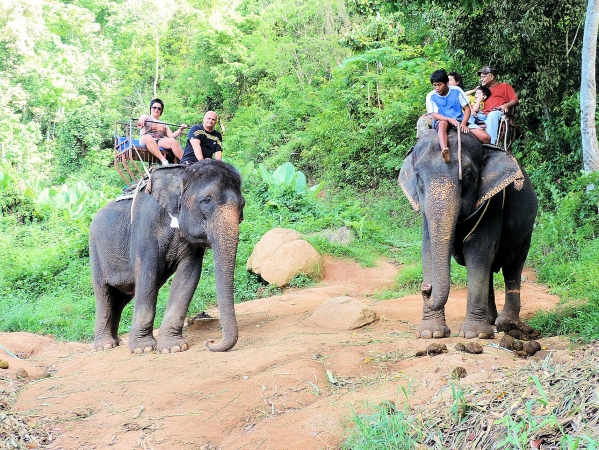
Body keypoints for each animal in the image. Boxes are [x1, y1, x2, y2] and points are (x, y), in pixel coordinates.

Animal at [88, 160, 246, 354]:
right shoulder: (145, 227)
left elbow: (189, 275)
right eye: (206, 200)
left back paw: (116, 341)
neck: (183, 171)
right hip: (95, 252)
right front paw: (143, 349)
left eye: (243, 205)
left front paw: (174, 347)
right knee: (104, 295)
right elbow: (147, 274)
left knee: (120, 298)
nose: (210, 342)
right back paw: (105, 345)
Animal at [398, 129, 540, 338]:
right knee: (491, 270)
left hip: (526, 230)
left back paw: (506, 323)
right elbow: (428, 251)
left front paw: (475, 334)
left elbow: (478, 252)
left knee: (513, 267)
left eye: (467, 174)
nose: (426, 288)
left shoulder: (492, 205)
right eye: (417, 175)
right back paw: (490, 320)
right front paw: (432, 333)